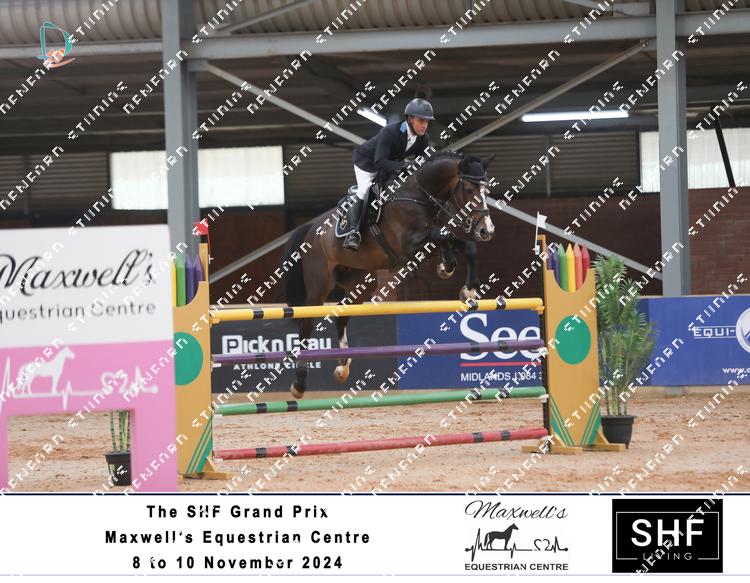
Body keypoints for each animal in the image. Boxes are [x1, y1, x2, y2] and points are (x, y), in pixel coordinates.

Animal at [283, 151, 496, 399]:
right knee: (306, 325)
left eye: (486, 190)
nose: (487, 231)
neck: (418, 194)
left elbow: (463, 245)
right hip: (320, 285)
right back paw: (299, 384)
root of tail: (311, 228)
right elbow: (442, 235)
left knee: (341, 315)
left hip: (362, 282)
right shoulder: (409, 246)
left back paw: (343, 367)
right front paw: (450, 269)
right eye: (470, 189)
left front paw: (464, 285)